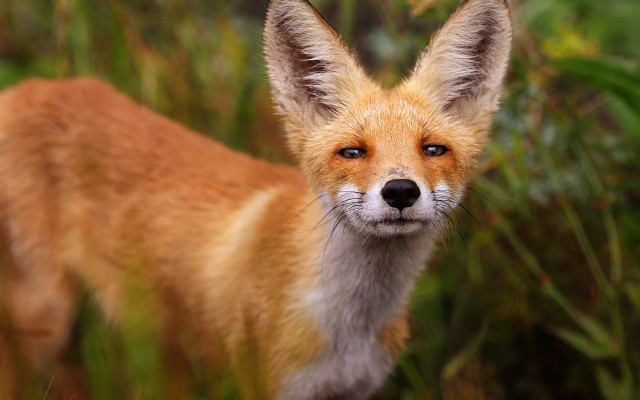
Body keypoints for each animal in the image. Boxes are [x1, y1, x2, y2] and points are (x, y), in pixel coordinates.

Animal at [0, 0, 511, 398]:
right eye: (352, 151)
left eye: (433, 150)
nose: (401, 191)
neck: (349, 327)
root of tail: (25, 88)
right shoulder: (267, 382)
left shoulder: (354, 389)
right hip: (43, 319)